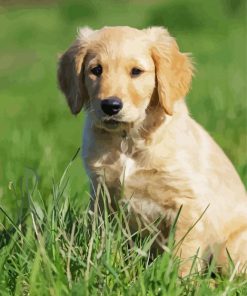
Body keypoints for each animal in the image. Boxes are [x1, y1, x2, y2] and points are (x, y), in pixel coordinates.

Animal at [58, 26, 247, 276]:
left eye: (136, 72)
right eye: (96, 70)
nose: (110, 106)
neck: (128, 141)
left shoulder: (187, 203)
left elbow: (183, 252)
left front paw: (178, 280)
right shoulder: (103, 196)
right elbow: (105, 241)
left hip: (229, 250)